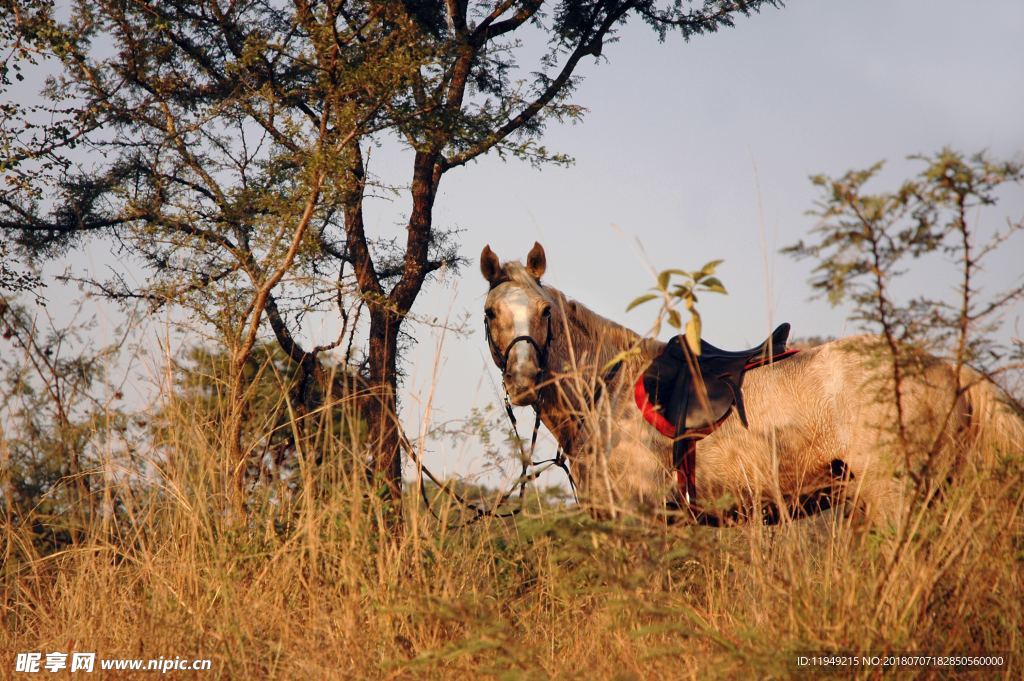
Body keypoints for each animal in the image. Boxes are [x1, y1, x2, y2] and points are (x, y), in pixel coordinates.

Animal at [479, 241, 1024, 522]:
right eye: (490, 313)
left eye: (545, 311)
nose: (523, 380)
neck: (606, 389)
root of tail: (948, 368)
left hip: (896, 497)